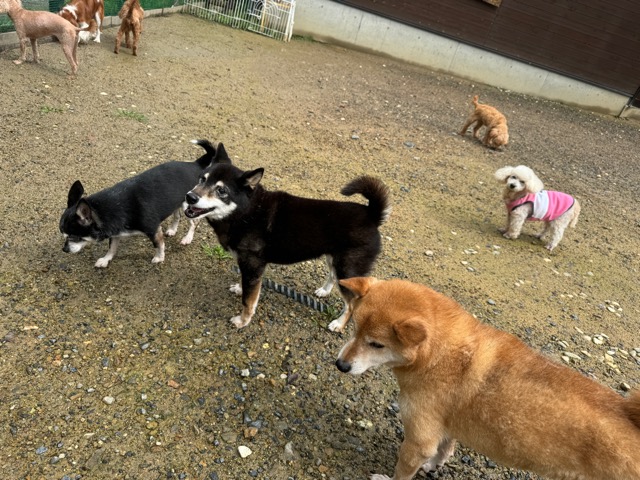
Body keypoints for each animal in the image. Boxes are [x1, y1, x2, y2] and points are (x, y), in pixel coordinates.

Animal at [59, 140, 216, 268]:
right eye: (64, 235)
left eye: (74, 237)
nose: (64, 250)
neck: (107, 208)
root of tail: (195, 164)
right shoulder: (115, 233)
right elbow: (112, 248)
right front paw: (105, 259)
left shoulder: (153, 230)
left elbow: (159, 244)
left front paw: (159, 257)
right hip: (176, 202)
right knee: (177, 216)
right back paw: (172, 229)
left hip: (187, 205)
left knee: (193, 223)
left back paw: (187, 238)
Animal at [183, 142, 390, 331]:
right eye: (202, 179)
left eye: (221, 190)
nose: (190, 197)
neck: (246, 212)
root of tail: (371, 215)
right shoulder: (249, 268)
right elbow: (247, 288)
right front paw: (239, 289)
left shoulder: (253, 266)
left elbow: (248, 301)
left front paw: (242, 321)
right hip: (336, 261)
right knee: (334, 277)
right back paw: (324, 291)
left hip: (347, 267)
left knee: (352, 304)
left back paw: (338, 324)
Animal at [335, 277, 640, 480]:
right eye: (354, 328)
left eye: (376, 345)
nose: (340, 364)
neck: (439, 356)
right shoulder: (447, 425)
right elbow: (444, 450)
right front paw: (433, 466)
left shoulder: (419, 439)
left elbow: (403, 471)